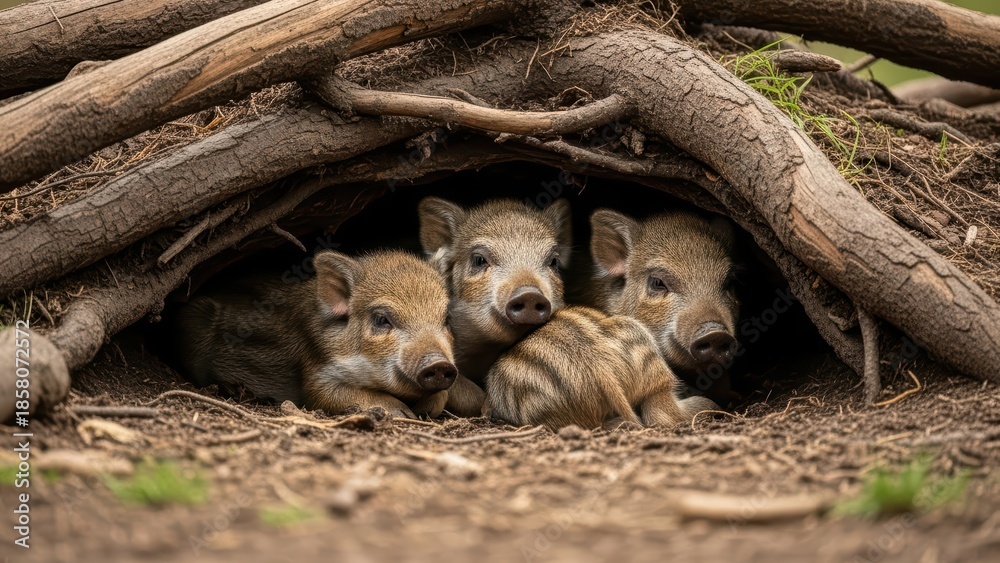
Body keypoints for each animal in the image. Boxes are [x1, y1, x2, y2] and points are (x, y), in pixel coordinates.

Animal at [175, 250, 457, 419]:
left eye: (446, 318)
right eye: (381, 319)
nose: (439, 364)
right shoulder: (317, 374)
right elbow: (326, 395)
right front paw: (404, 414)